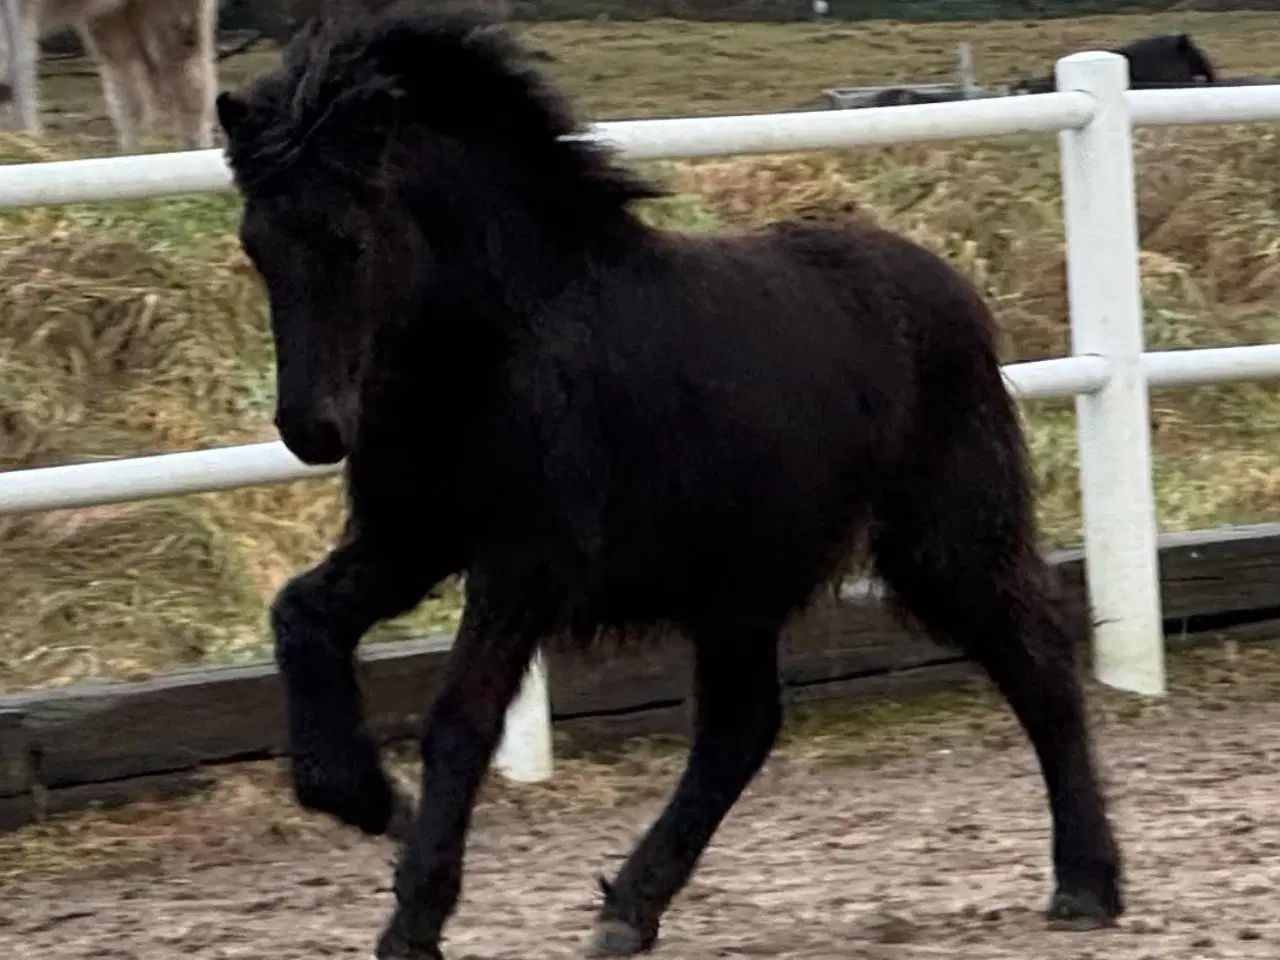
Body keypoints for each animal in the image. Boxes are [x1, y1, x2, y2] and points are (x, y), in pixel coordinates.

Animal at [215, 11, 1126, 957]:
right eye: (256, 244)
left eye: (352, 239)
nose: (311, 428)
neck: (498, 342)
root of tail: (954, 291)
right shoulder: (410, 538)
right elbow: (301, 615)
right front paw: (361, 798)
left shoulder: (527, 561)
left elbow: (462, 718)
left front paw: (412, 916)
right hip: (744, 583)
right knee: (740, 726)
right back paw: (630, 907)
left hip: (943, 539)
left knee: (1037, 659)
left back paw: (1086, 882)